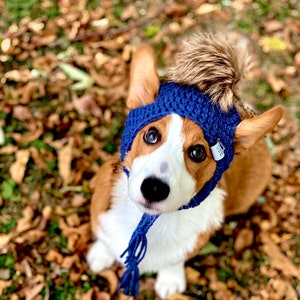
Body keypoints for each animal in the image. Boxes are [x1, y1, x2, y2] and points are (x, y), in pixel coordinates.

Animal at [86, 33, 284, 298]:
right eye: (151, 135)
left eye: (198, 152)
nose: (154, 188)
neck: (149, 221)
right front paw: (101, 253)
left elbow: (175, 259)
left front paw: (170, 279)